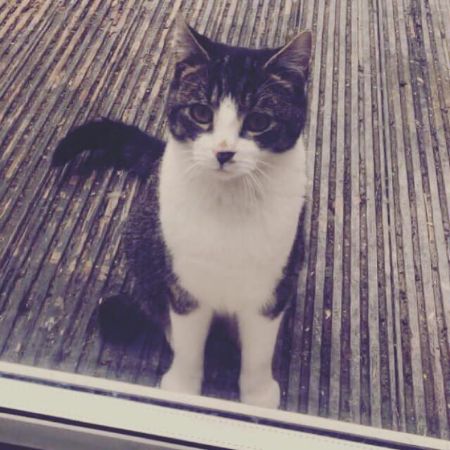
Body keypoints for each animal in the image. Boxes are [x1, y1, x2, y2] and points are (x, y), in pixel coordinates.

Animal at [52, 16, 312, 409]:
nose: (224, 152)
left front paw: (257, 394)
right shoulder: (183, 282)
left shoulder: (271, 285)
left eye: (258, 121)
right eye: (201, 113)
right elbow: (190, 342)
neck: (228, 205)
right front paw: (184, 388)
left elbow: (258, 351)